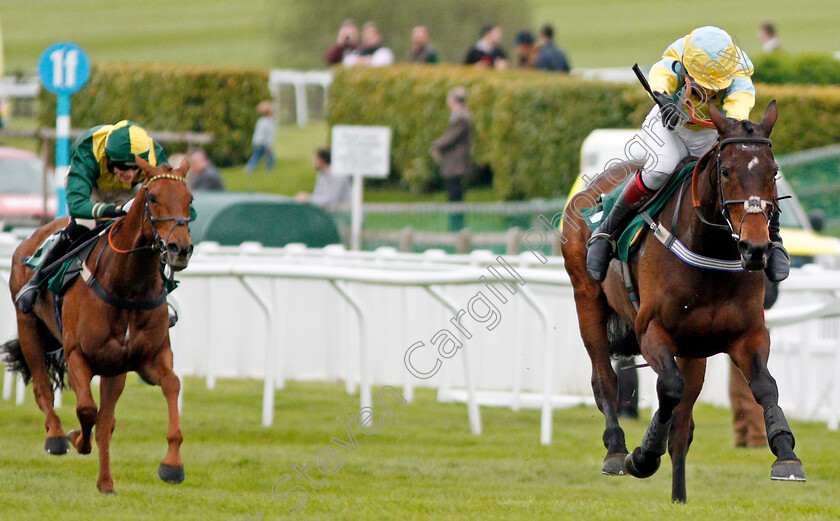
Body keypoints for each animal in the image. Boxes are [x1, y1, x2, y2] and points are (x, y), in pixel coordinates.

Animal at [2, 156, 195, 494]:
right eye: (153, 197)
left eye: (190, 200)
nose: (179, 249)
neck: (128, 286)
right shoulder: (77, 354)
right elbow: (86, 409)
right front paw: (75, 438)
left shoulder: (146, 358)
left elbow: (171, 385)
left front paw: (172, 465)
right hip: (28, 325)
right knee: (43, 388)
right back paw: (56, 436)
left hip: (113, 368)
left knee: (106, 421)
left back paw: (106, 483)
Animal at [560, 99, 804, 502]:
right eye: (726, 171)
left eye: (773, 173)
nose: (755, 248)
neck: (710, 250)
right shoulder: (651, 331)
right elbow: (668, 389)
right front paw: (643, 455)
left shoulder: (747, 334)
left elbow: (765, 385)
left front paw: (786, 453)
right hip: (587, 298)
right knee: (604, 378)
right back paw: (616, 451)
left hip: (695, 350)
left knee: (683, 424)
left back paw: (679, 496)